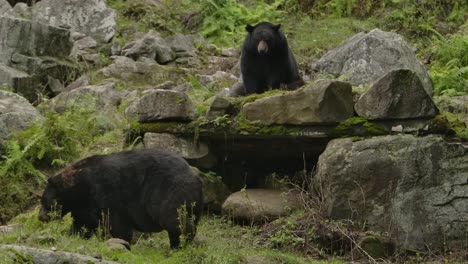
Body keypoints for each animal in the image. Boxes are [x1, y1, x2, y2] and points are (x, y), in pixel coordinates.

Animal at [38, 150, 203, 249]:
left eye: (44, 202)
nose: (40, 217)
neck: (81, 187)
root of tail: (196, 176)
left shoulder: (109, 191)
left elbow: (117, 222)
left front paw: (120, 241)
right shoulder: (86, 205)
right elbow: (83, 222)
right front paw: (73, 235)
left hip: (169, 191)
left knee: (174, 219)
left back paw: (179, 245)